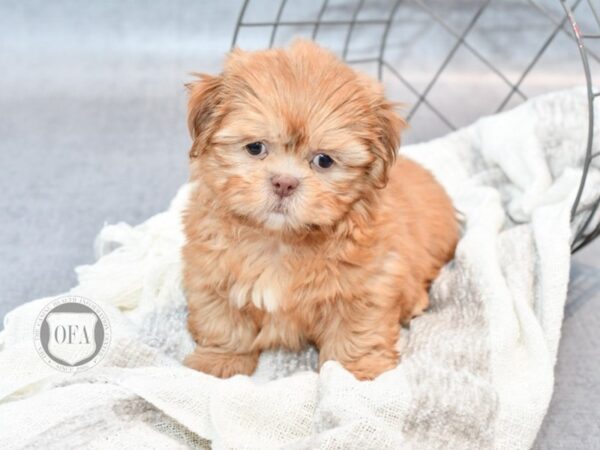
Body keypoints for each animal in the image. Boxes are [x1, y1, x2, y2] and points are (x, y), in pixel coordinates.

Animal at [180, 39, 458, 380]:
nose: (284, 183)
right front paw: (219, 362)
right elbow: (223, 323)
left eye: (323, 160)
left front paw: (357, 372)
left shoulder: (368, 286)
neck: (280, 240)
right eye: (255, 147)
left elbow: (357, 331)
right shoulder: (210, 276)